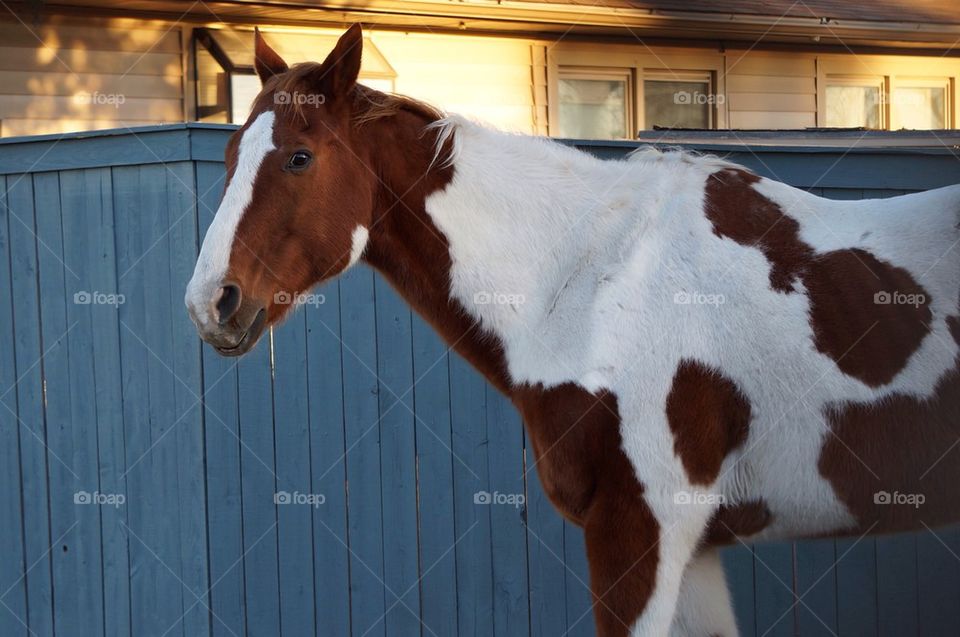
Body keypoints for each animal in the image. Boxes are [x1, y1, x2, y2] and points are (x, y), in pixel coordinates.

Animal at [186, 26, 960, 636]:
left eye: (299, 157)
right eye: (228, 159)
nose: (211, 302)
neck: (594, 276)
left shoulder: (638, 531)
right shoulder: (691, 548)